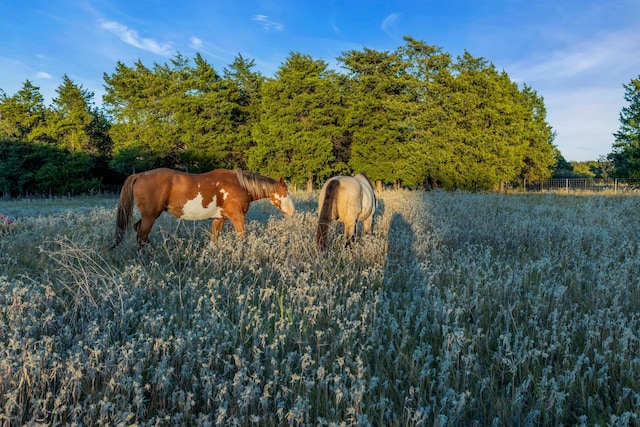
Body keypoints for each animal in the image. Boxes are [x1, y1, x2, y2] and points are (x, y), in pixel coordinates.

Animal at [110, 167, 296, 247]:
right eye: (286, 192)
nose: (292, 212)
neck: (240, 185)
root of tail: (139, 175)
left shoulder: (219, 219)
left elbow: (214, 240)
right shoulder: (237, 217)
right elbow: (242, 237)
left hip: (149, 216)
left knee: (138, 230)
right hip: (150, 216)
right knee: (142, 234)